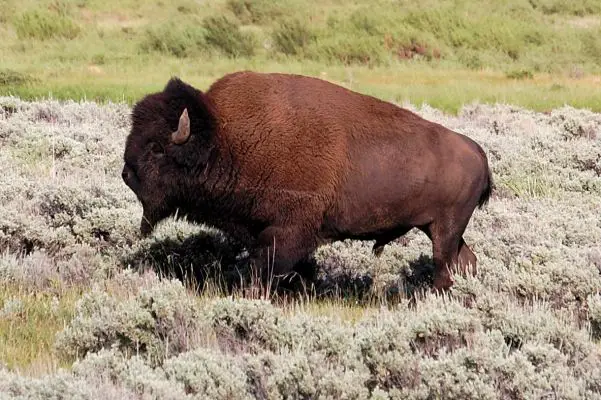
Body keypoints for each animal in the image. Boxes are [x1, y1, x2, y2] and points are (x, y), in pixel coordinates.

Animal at [122, 70, 492, 292]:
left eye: (156, 147)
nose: (126, 174)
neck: (225, 138)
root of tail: (477, 151)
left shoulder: (286, 233)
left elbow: (265, 270)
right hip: (440, 229)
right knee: (466, 262)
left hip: (445, 229)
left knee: (444, 270)